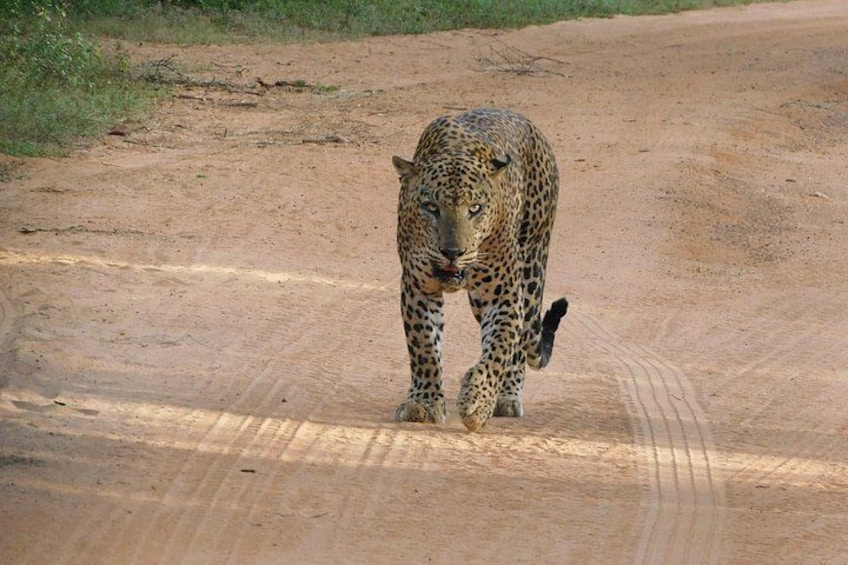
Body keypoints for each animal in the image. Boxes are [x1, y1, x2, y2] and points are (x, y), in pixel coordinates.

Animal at [392, 108, 568, 432]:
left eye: (475, 209)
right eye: (431, 207)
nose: (452, 253)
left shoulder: (503, 296)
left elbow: (499, 348)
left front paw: (477, 401)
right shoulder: (417, 287)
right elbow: (424, 346)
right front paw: (424, 403)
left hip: (531, 268)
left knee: (520, 342)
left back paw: (507, 397)